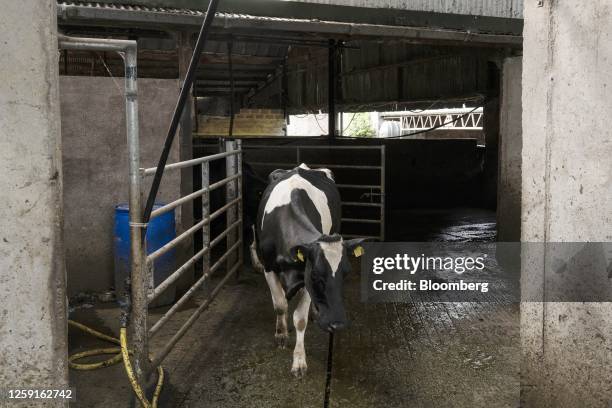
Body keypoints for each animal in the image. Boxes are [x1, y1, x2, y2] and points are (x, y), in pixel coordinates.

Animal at [251, 162, 366, 376]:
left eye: (346, 273)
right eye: (315, 275)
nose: (337, 323)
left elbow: (300, 318)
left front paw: (299, 361)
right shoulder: (268, 267)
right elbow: (280, 305)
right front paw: (281, 334)